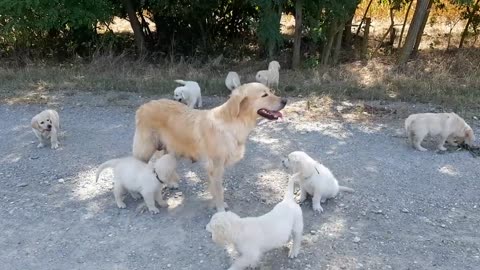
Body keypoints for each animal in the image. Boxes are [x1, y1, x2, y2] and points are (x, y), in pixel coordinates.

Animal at [133, 82, 286, 211]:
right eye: (264, 95)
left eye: (270, 91)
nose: (285, 101)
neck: (234, 123)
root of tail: (143, 106)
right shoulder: (216, 166)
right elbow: (219, 191)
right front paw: (220, 209)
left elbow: (214, 189)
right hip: (146, 149)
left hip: (168, 148)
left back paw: (169, 183)